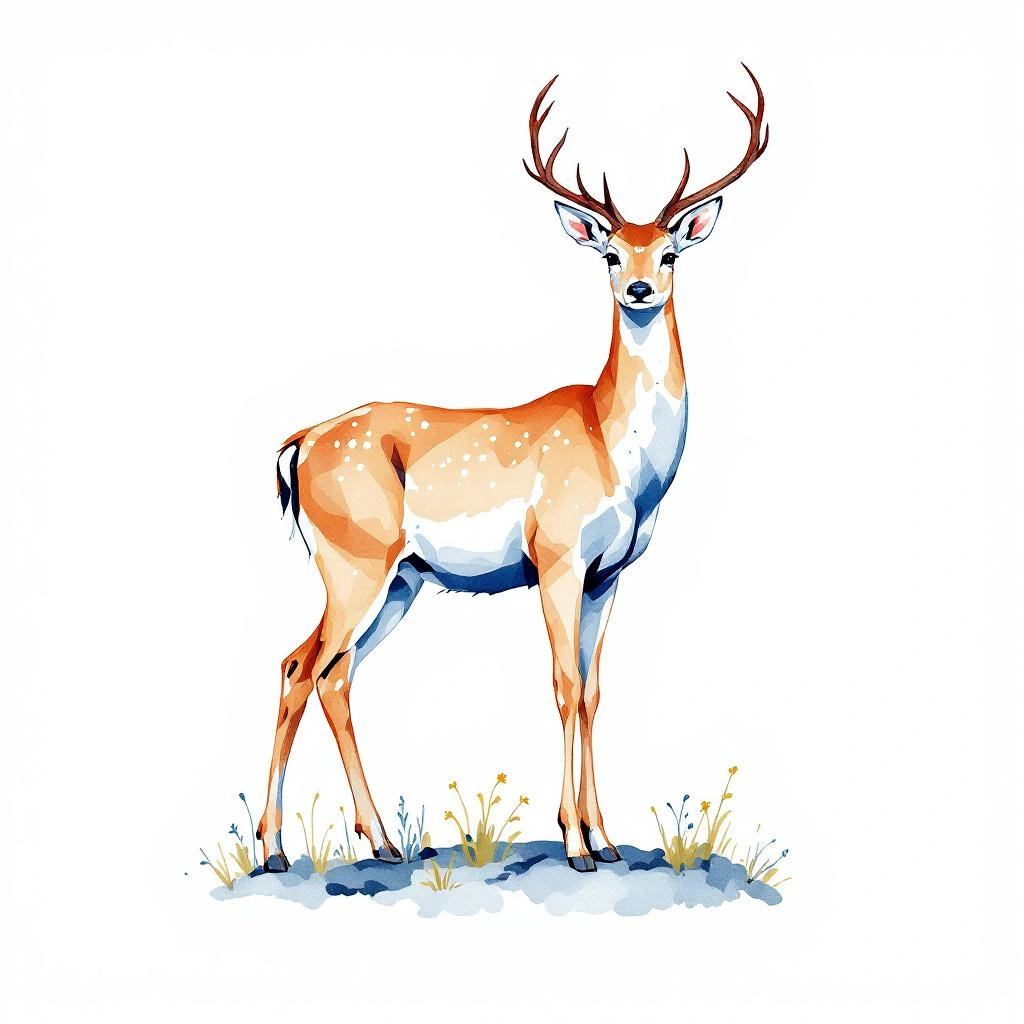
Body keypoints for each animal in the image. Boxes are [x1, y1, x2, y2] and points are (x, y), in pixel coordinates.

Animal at [256, 66, 769, 873]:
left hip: (400, 579)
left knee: (334, 674)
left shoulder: (610, 573)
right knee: (298, 667)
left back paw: (383, 842)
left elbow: (595, 690)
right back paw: (276, 848)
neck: (615, 450)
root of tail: (301, 442)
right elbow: (563, 684)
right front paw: (576, 844)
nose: (640, 289)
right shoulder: (556, 556)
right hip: (352, 562)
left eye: (671, 253)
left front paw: (608, 839)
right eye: (610, 254)